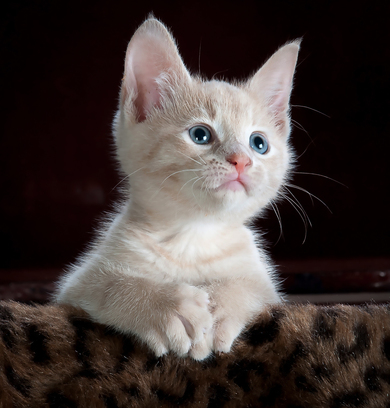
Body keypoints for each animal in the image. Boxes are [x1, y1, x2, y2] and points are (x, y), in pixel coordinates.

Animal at [54, 17, 298, 360]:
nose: (241, 161)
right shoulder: (75, 287)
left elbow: (249, 287)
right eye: (200, 135)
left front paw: (221, 305)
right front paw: (165, 306)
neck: (193, 235)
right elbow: (110, 286)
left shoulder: (267, 288)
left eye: (258, 143)